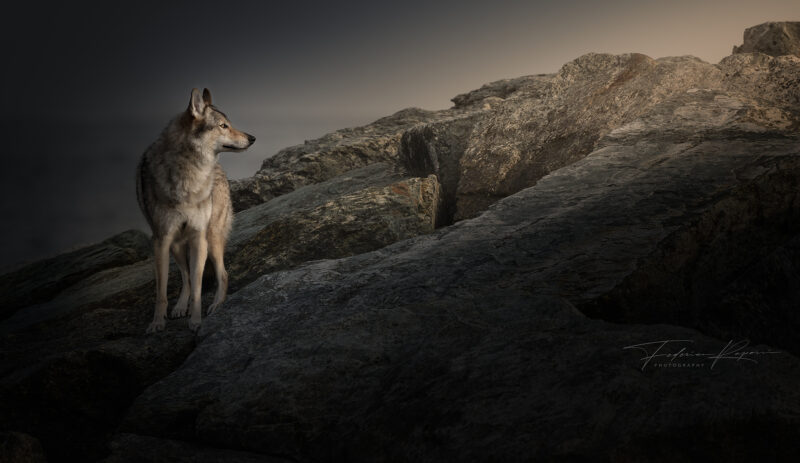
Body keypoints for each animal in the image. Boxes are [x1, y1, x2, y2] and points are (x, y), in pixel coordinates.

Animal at [136, 88, 255, 333]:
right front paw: (157, 322)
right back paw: (181, 306)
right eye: (223, 126)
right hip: (177, 244)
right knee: (186, 277)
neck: (190, 175)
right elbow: (162, 291)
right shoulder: (161, 240)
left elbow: (199, 288)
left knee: (223, 274)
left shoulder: (199, 237)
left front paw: (196, 320)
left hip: (212, 237)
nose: (252, 138)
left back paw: (216, 305)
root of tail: (219, 168)